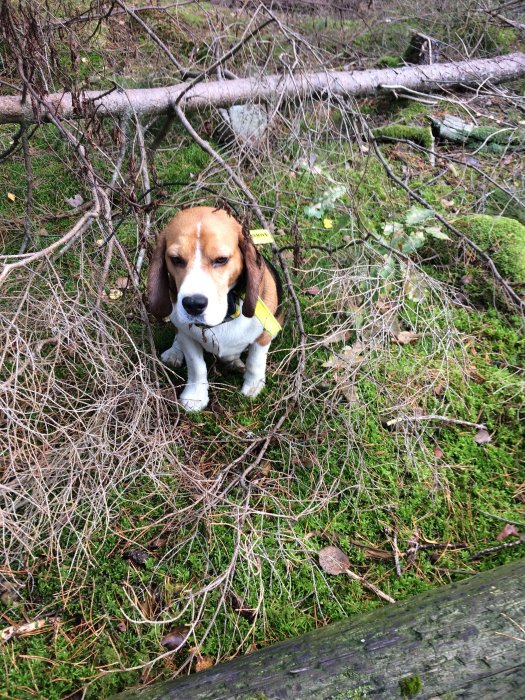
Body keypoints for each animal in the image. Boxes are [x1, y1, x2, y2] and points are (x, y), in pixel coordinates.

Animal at [147, 206, 282, 410]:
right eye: (176, 259)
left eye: (221, 259)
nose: (193, 304)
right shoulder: (188, 337)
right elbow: (196, 366)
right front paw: (195, 396)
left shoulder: (264, 336)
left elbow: (255, 361)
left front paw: (253, 387)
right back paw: (174, 352)